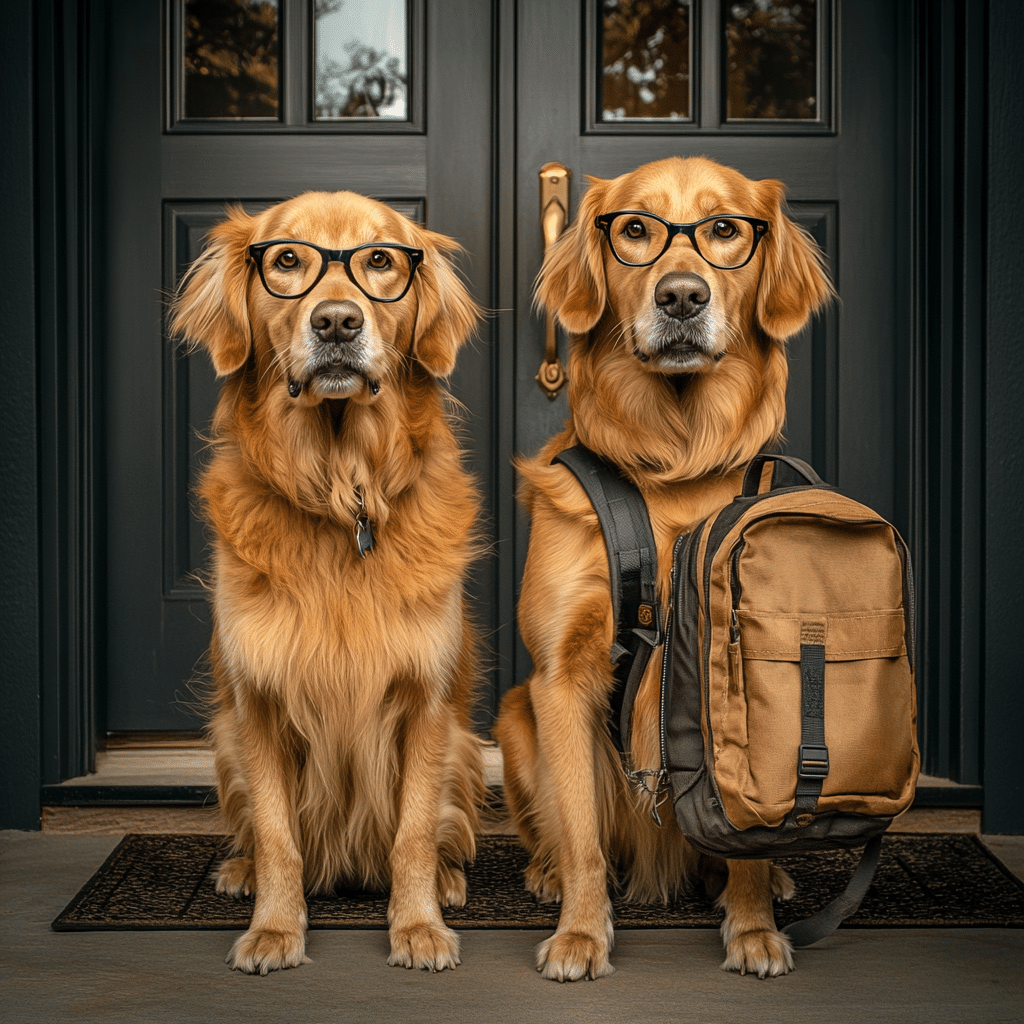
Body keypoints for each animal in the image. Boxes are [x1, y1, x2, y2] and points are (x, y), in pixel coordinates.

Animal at [167, 190, 483, 974]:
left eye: (380, 260)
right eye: (287, 260)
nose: (337, 321)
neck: (343, 496)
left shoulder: (425, 701)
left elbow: (412, 834)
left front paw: (418, 925)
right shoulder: (257, 702)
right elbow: (279, 834)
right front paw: (275, 929)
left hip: (465, 747)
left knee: (443, 829)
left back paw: (449, 880)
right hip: (224, 745)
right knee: (255, 833)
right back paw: (240, 872)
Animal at [495, 155, 921, 978]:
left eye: (725, 228)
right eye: (635, 229)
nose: (683, 296)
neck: (673, 468)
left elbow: (744, 830)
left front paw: (753, 927)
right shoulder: (560, 673)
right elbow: (582, 833)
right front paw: (581, 934)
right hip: (515, 716)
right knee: (558, 831)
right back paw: (546, 874)